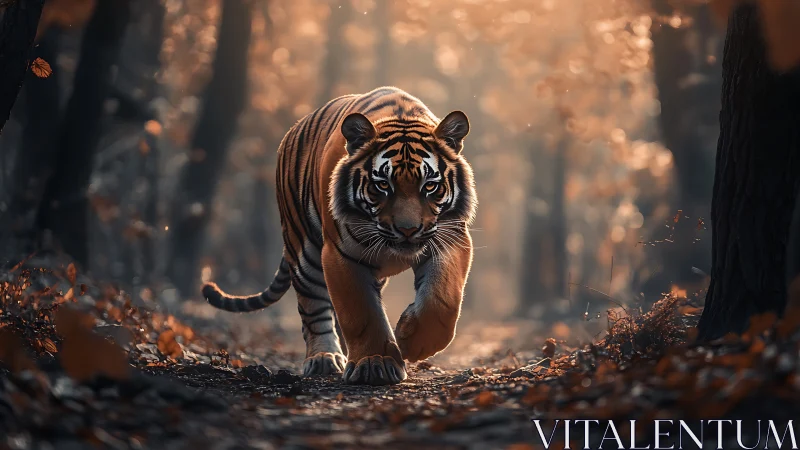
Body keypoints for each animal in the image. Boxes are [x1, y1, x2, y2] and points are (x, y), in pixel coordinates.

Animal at [202, 86, 477, 386]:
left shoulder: (450, 239)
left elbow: (442, 300)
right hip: (305, 253)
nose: (408, 229)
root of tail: (293, 130)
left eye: (430, 186)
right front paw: (374, 363)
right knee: (313, 310)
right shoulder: (341, 254)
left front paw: (412, 341)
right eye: (382, 185)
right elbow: (361, 313)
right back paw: (324, 358)